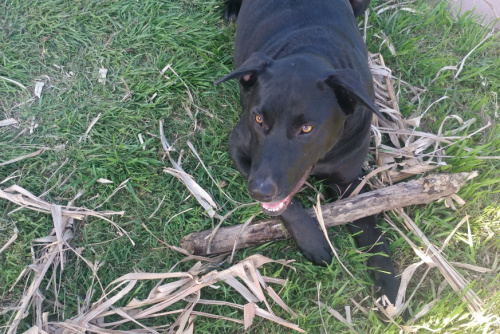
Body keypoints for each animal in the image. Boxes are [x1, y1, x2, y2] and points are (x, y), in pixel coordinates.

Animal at [217, 0, 400, 302]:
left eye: (306, 128)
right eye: (258, 119)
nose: (259, 191)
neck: (309, 52)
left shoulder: (350, 181)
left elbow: (367, 222)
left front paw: (388, 280)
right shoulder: (239, 149)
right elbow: (288, 206)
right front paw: (313, 241)